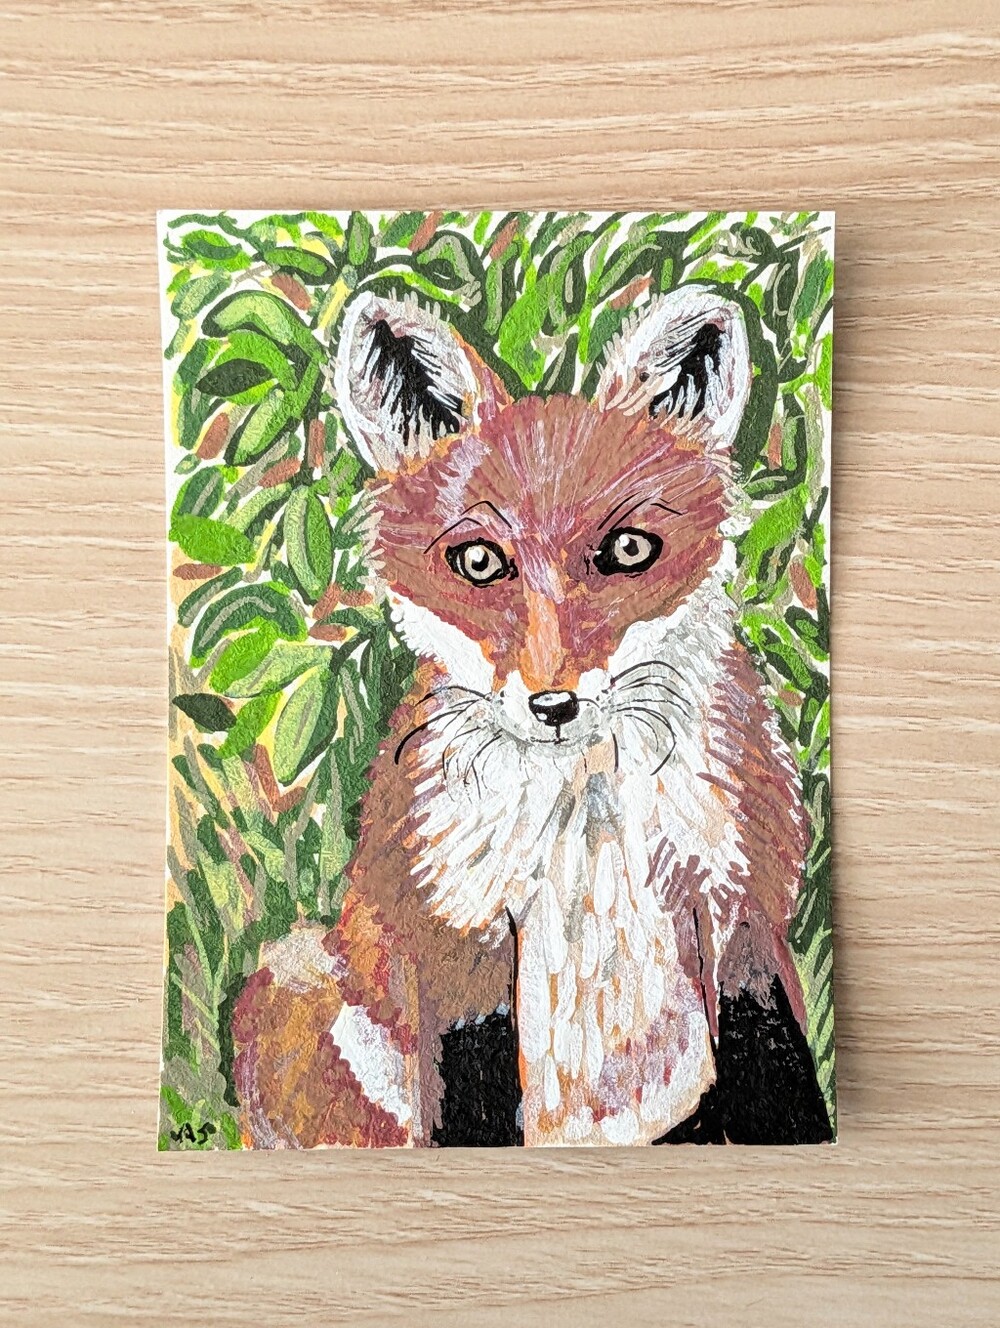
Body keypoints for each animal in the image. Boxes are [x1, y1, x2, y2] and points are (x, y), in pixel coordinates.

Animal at [231, 284, 834, 1147]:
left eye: (628, 550)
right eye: (480, 561)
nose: (554, 704)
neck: (584, 831)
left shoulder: (742, 909)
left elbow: (783, 1090)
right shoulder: (460, 934)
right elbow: (471, 1112)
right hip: (291, 980)